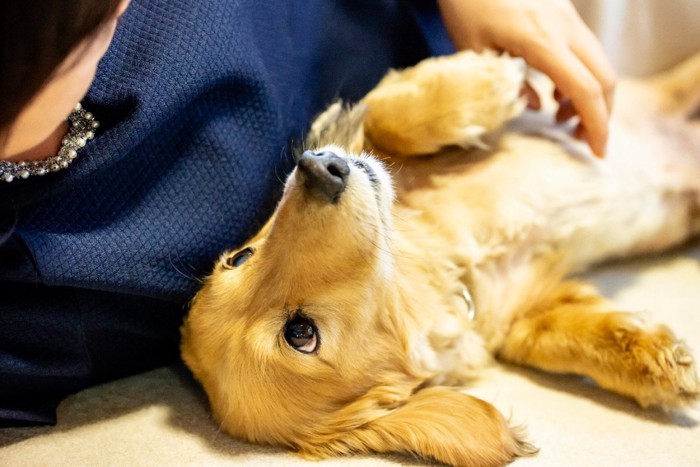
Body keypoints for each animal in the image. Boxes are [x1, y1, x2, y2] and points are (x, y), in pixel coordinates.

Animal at [182, 49, 700, 466]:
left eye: (239, 257)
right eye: (300, 334)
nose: (318, 168)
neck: (447, 264)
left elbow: (388, 116)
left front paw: (489, 79)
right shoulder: (527, 314)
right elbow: (570, 339)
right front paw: (665, 364)